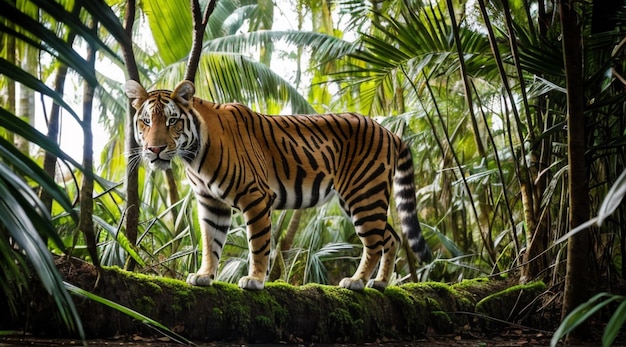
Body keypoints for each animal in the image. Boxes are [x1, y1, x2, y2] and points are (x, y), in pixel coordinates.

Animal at [125, 80, 432, 292]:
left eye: (172, 121)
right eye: (146, 121)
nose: (154, 149)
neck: (193, 156)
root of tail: (390, 131)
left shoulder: (255, 196)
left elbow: (258, 244)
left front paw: (255, 280)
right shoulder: (212, 203)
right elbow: (211, 242)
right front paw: (204, 276)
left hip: (363, 194)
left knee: (375, 243)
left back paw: (356, 282)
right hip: (362, 198)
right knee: (391, 237)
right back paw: (379, 284)